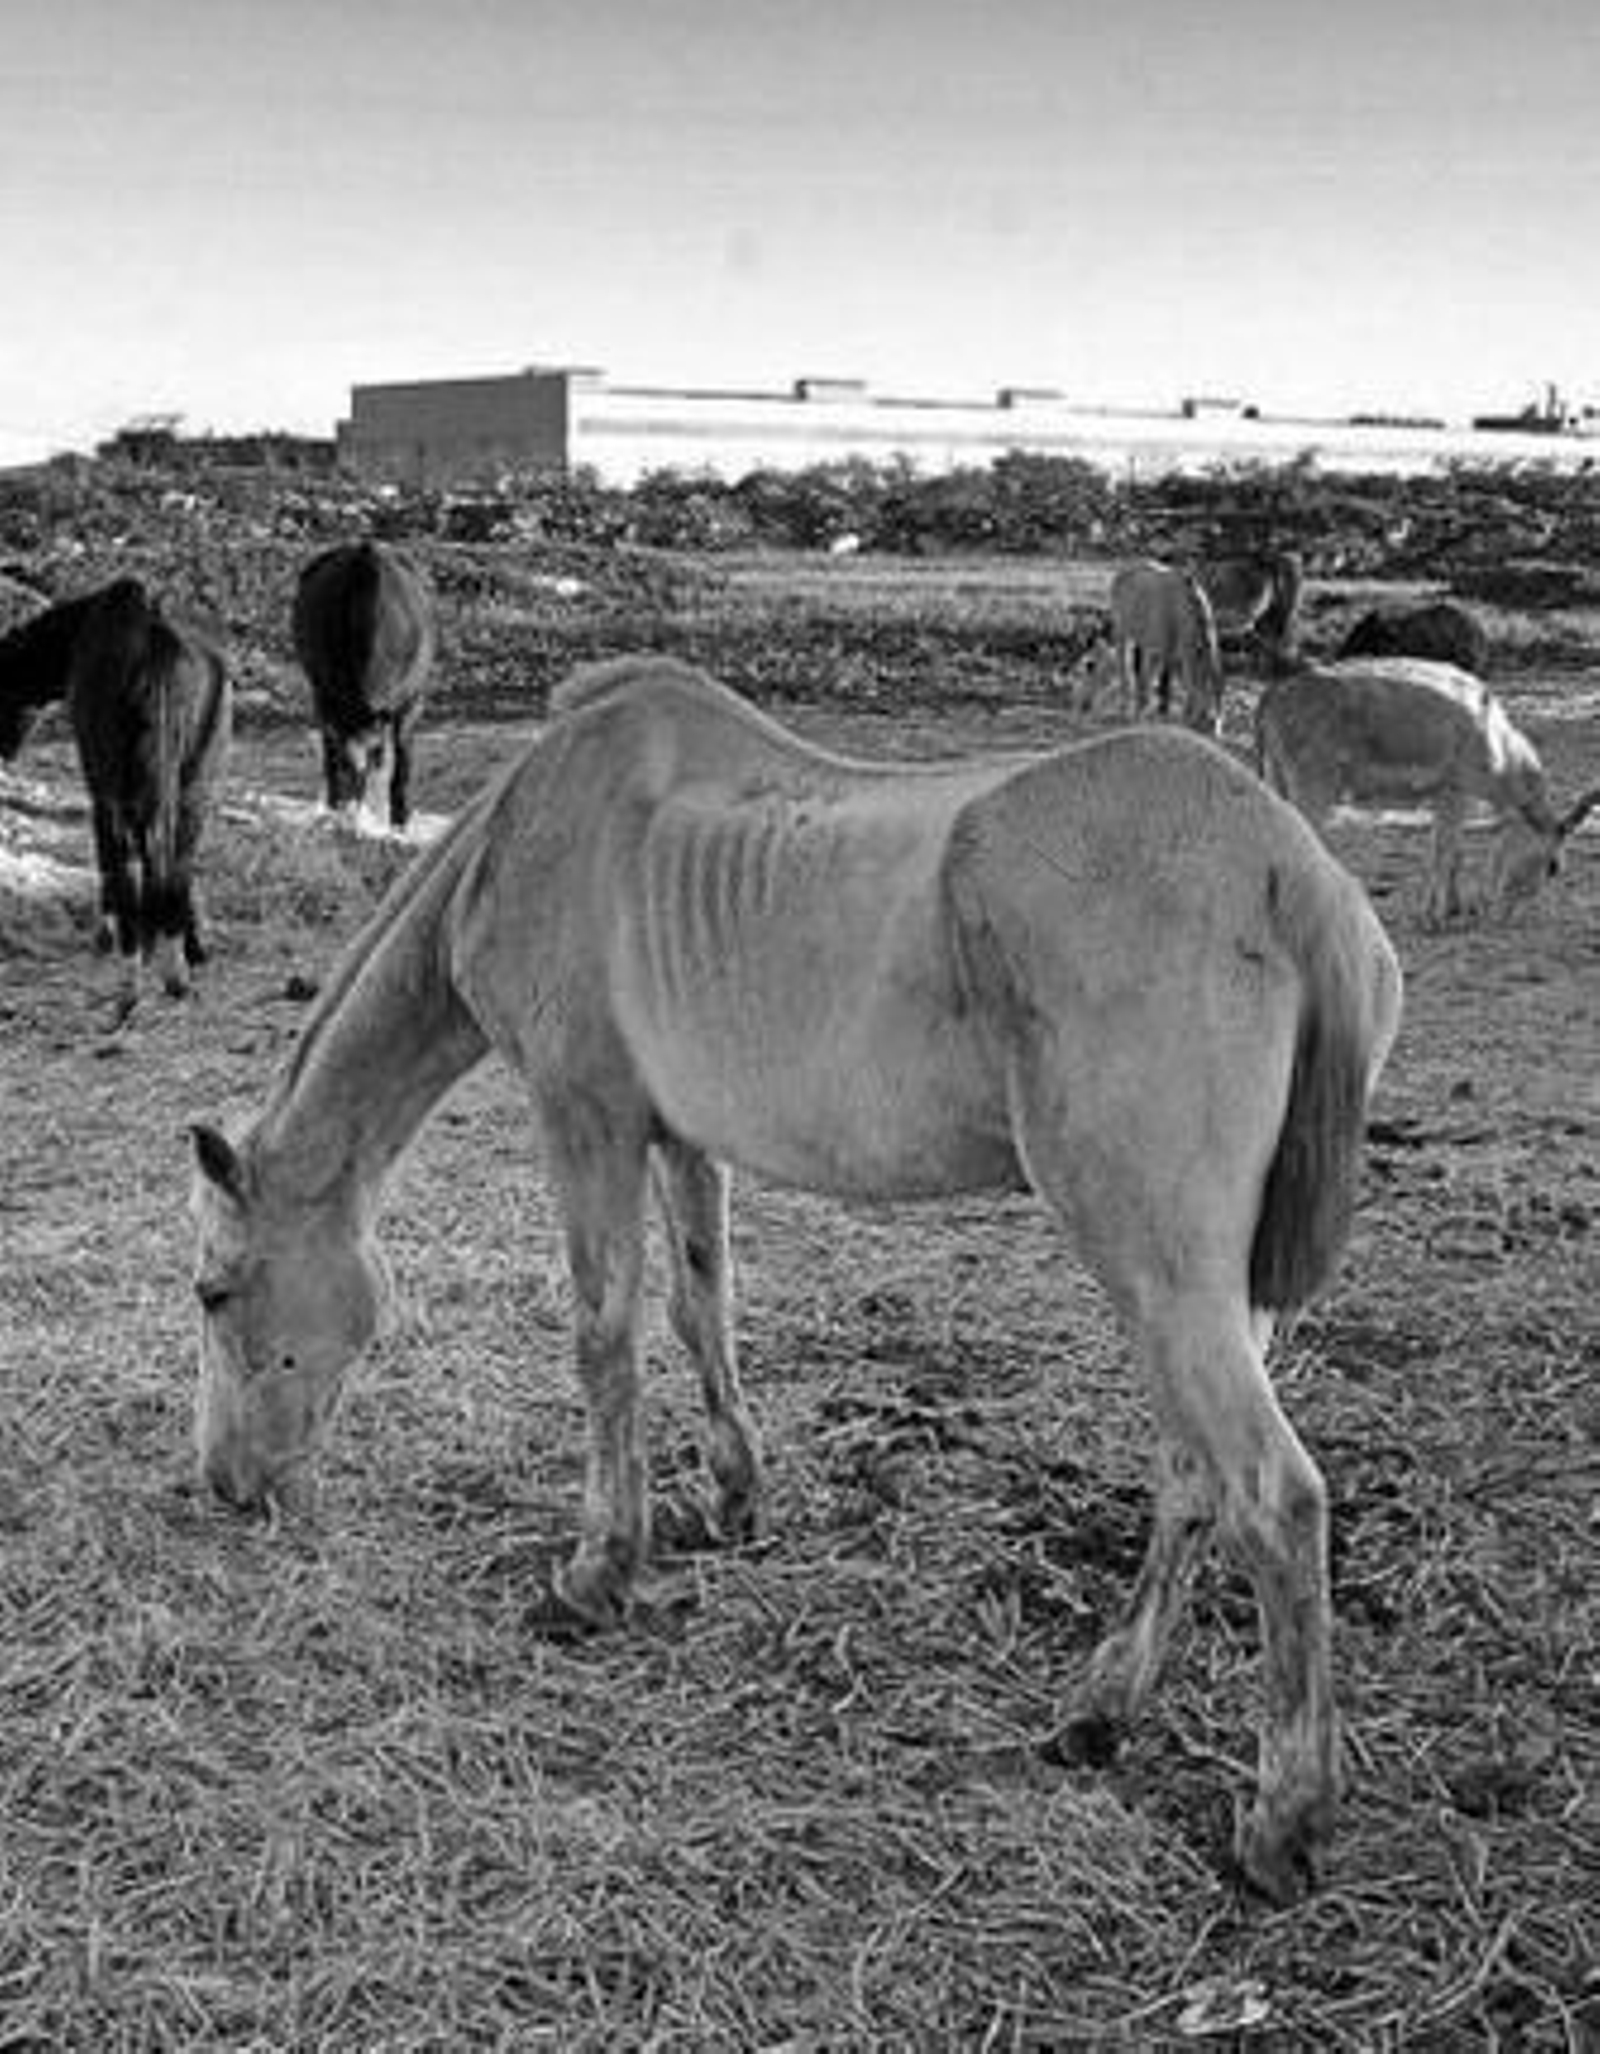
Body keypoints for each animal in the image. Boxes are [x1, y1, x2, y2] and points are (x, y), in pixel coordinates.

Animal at [189, 656, 1402, 1904]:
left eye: (213, 1291)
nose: (227, 1482)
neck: (531, 826)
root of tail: (1290, 870)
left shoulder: (586, 1117)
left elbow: (604, 1336)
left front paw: (596, 1569)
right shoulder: (678, 1134)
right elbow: (699, 1307)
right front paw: (732, 1496)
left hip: (1162, 1277)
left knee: (1273, 1494)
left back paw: (1281, 1818)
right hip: (1218, 1296)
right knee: (1191, 1477)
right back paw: (1102, 1705)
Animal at [292, 539, 435, 828]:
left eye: (363, 769)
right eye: (348, 766)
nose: (349, 814)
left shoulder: (411, 702)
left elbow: (401, 759)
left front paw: (399, 817)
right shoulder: (327, 700)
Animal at [1105, 561, 1225, 734]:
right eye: (1209, 718)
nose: (1215, 732)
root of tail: (1122, 572)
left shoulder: (1176, 652)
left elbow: (1174, 681)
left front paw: (1164, 712)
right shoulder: (1161, 650)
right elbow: (1159, 679)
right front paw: (1145, 713)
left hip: (1144, 641)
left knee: (1141, 670)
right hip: (1122, 632)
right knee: (1125, 665)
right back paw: (1126, 708)